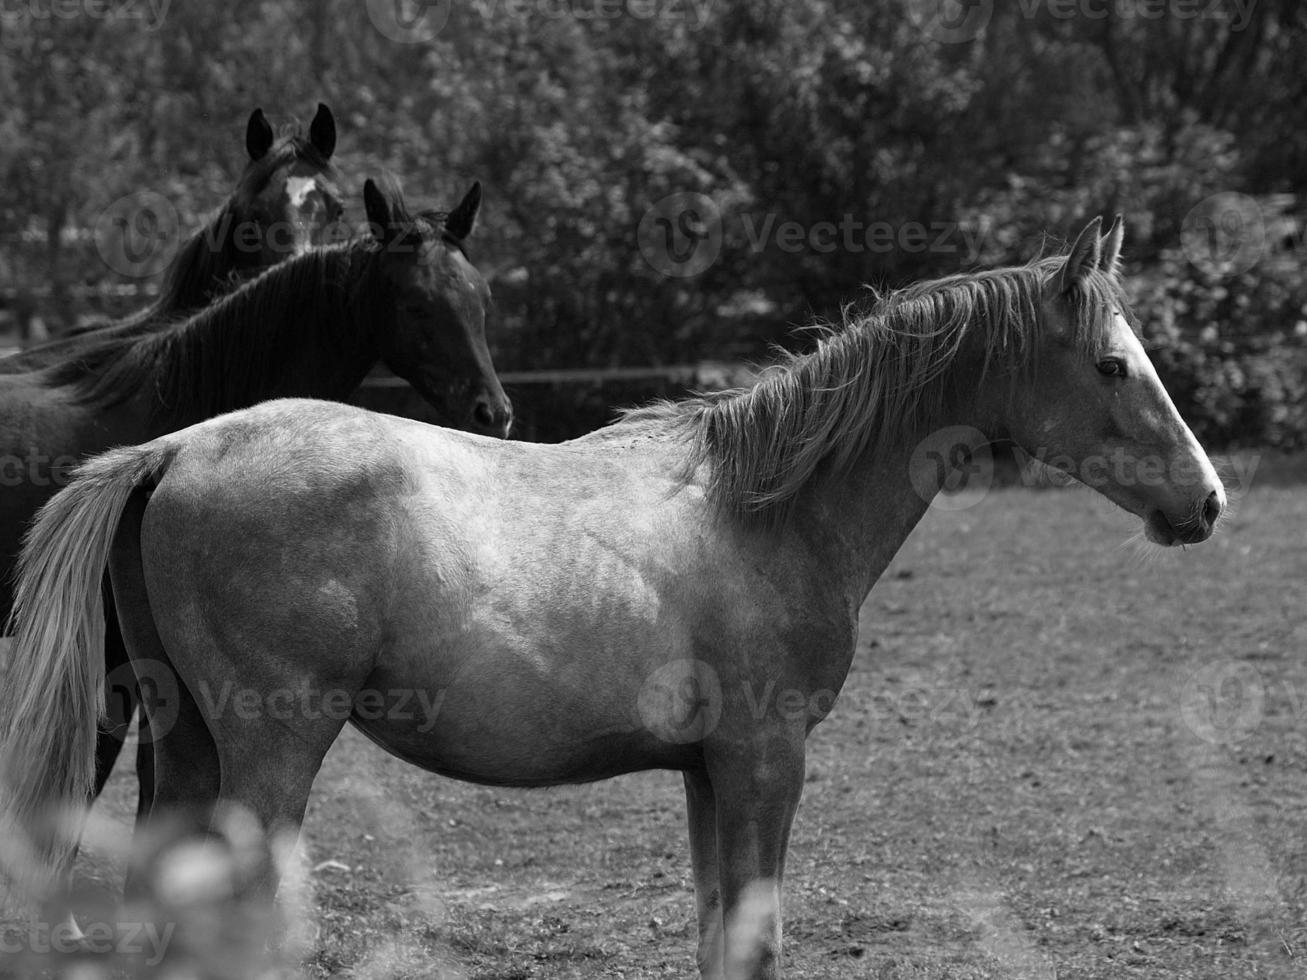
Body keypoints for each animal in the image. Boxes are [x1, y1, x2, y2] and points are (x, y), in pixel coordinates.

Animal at [0, 216, 1223, 980]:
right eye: (1112, 365)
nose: (1204, 501)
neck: (765, 506)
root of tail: (170, 450)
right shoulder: (765, 762)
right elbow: (753, 941)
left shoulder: (706, 773)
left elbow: (715, 938)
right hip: (268, 754)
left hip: (184, 748)